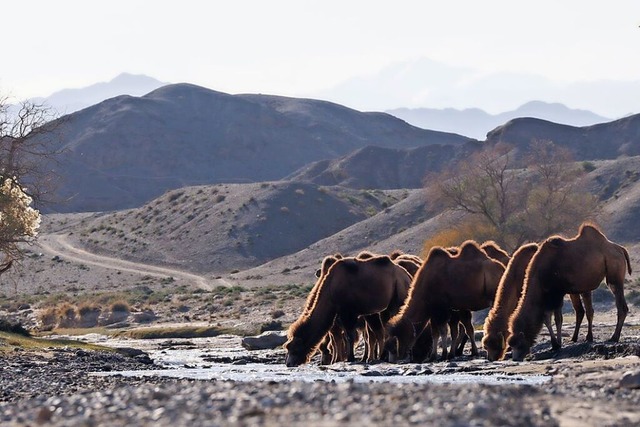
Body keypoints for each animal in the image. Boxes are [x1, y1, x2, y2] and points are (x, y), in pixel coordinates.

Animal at [508, 224, 632, 362]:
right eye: (511, 345)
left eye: (519, 344)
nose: (515, 358)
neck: (541, 273)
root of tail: (621, 249)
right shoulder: (552, 295)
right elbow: (547, 318)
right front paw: (558, 343)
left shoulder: (557, 293)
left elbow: (556, 319)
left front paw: (557, 344)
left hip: (614, 276)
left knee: (621, 305)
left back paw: (613, 337)